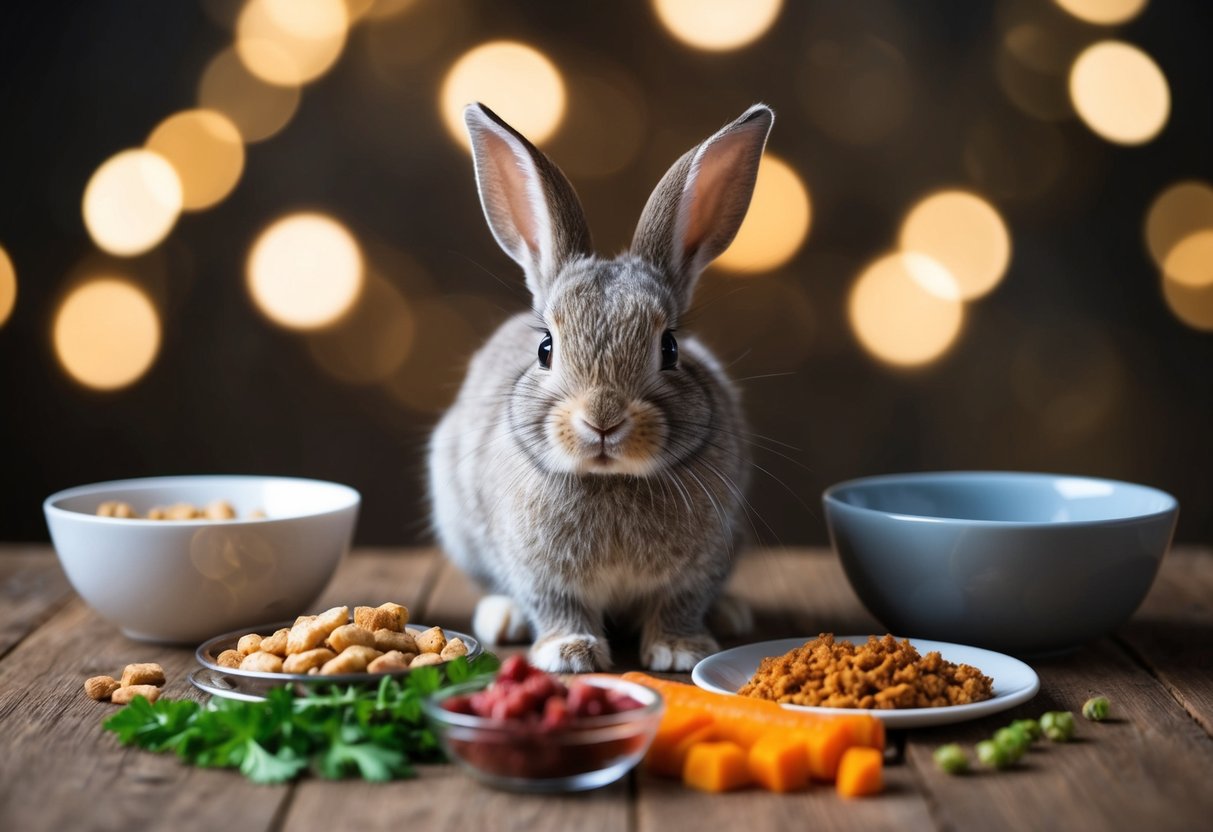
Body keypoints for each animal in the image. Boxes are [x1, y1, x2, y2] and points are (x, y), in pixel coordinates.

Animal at [428, 101, 773, 673]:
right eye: (546, 348)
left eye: (670, 348)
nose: (603, 419)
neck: (610, 479)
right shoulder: (540, 574)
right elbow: (557, 607)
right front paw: (569, 654)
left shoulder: (701, 567)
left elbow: (681, 604)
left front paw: (679, 651)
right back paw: (504, 618)